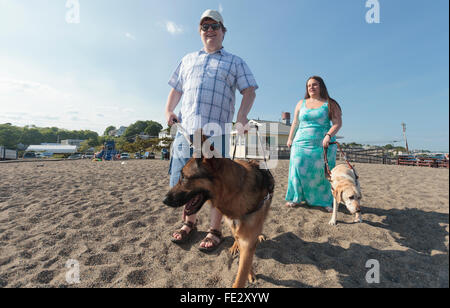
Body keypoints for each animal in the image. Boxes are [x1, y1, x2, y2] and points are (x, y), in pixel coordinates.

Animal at [163, 150, 272, 288]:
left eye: (184, 177)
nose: (164, 200)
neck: (235, 192)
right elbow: (244, 259)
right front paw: (249, 270)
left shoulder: (248, 240)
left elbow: (242, 272)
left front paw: (248, 272)